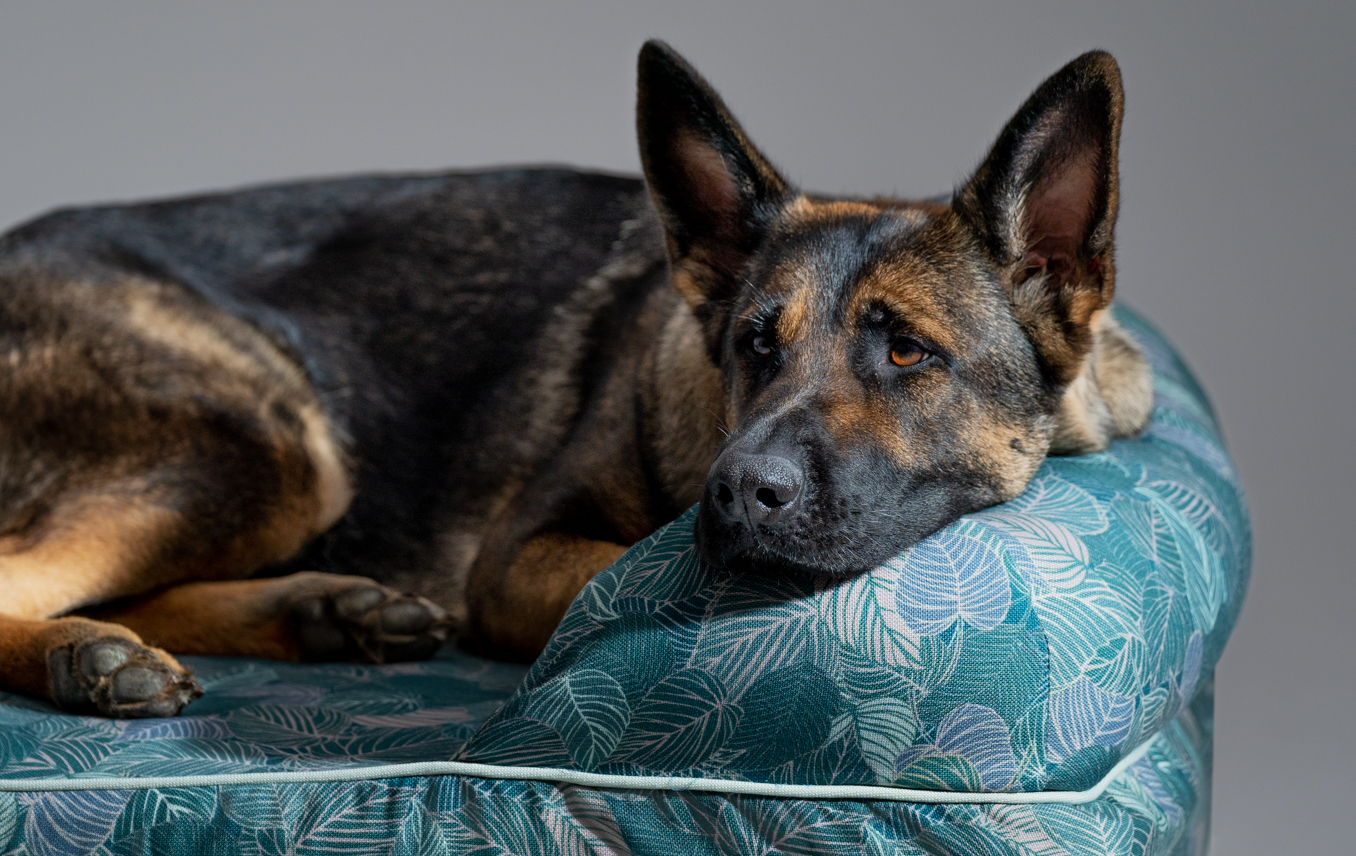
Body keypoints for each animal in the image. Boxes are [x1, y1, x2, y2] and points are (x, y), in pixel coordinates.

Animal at [0, 43, 1149, 721]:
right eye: (753, 346)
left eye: (908, 351)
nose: (741, 493)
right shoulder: (518, 561)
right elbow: (619, 571)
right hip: (269, 449)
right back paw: (84, 658)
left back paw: (325, 609)